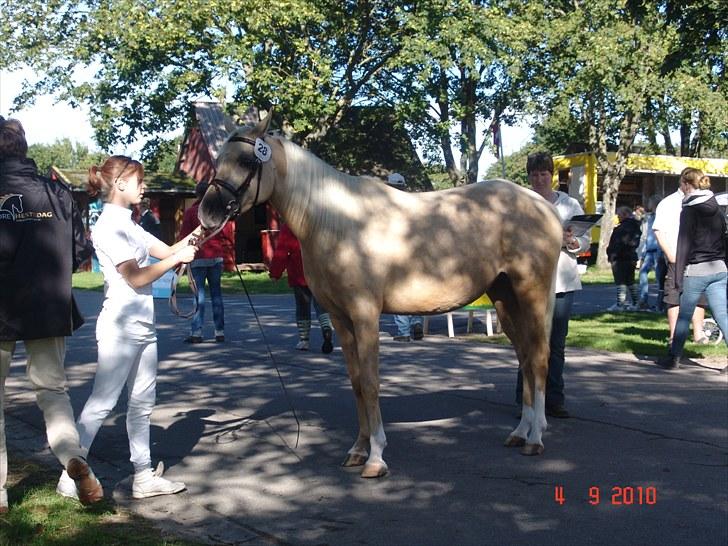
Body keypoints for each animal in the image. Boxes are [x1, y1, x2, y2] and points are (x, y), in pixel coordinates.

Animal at [199, 111, 564, 476]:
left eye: (247, 160)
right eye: (218, 160)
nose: (208, 213)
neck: (337, 222)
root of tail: (544, 207)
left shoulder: (365, 315)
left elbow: (372, 383)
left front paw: (375, 458)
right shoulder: (340, 318)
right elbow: (357, 383)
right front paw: (358, 450)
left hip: (532, 293)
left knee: (539, 358)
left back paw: (535, 438)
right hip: (505, 298)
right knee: (525, 358)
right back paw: (520, 432)